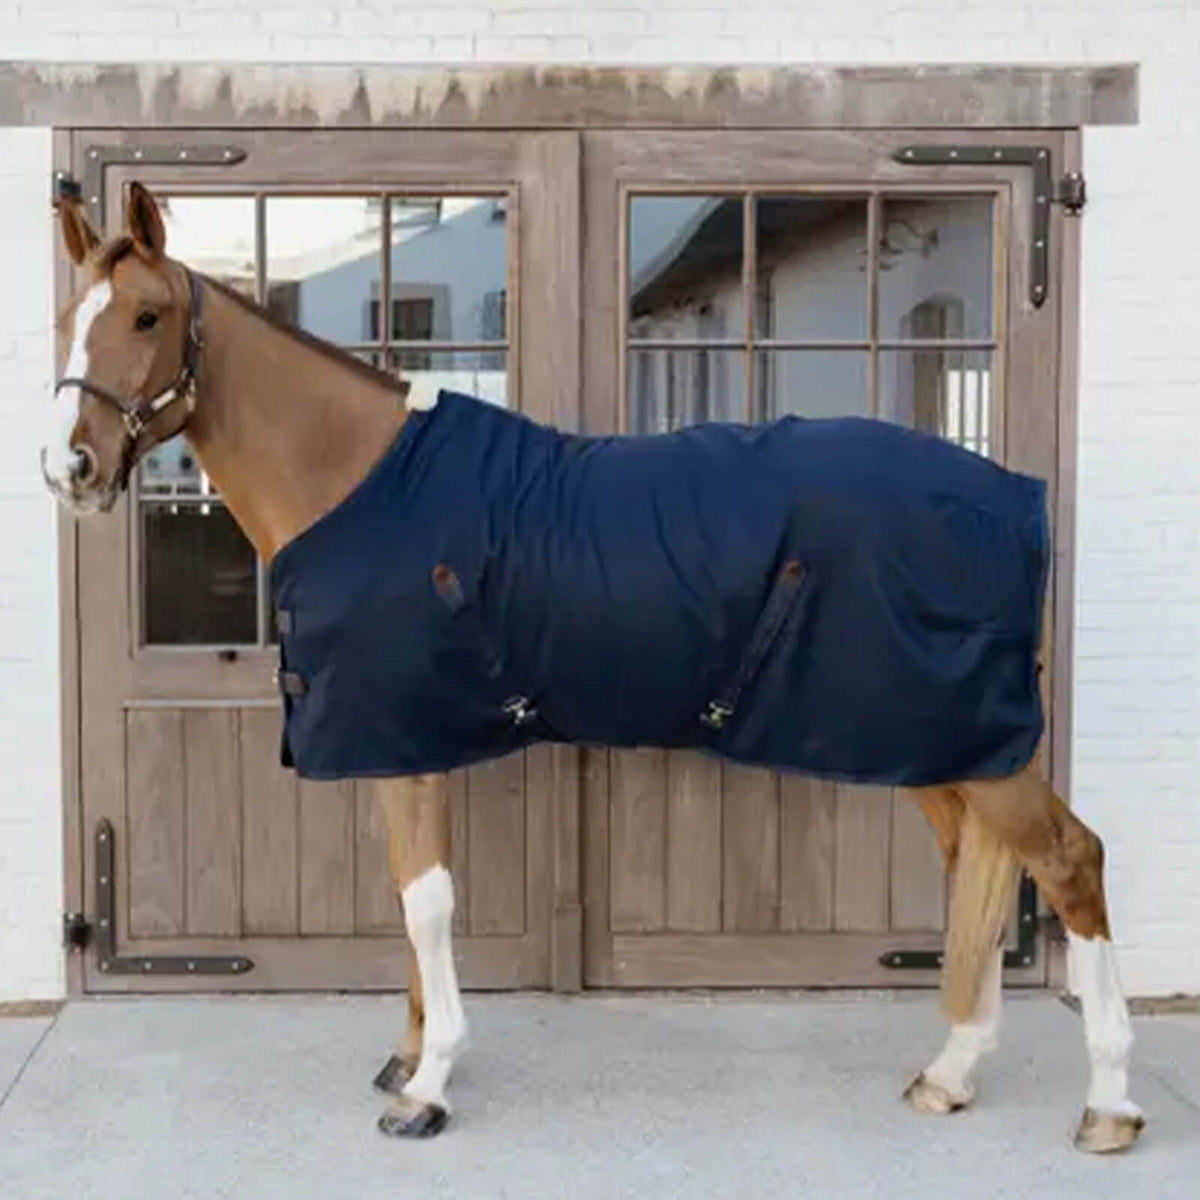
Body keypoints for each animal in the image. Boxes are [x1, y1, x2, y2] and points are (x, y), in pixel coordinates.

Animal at [41, 182, 1144, 1154]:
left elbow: (427, 903)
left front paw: (428, 1089)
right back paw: (951, 1074)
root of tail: (1009, 497)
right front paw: (406, 1060)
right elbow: (406, 898)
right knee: (978, 867)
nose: (70, 467)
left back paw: (1109, 1106)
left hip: (972, 740)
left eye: (146, 315)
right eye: (64, 317)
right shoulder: (398, 742)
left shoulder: (406, 743)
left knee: (1068, 859)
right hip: (933, 739)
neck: (357, 481)